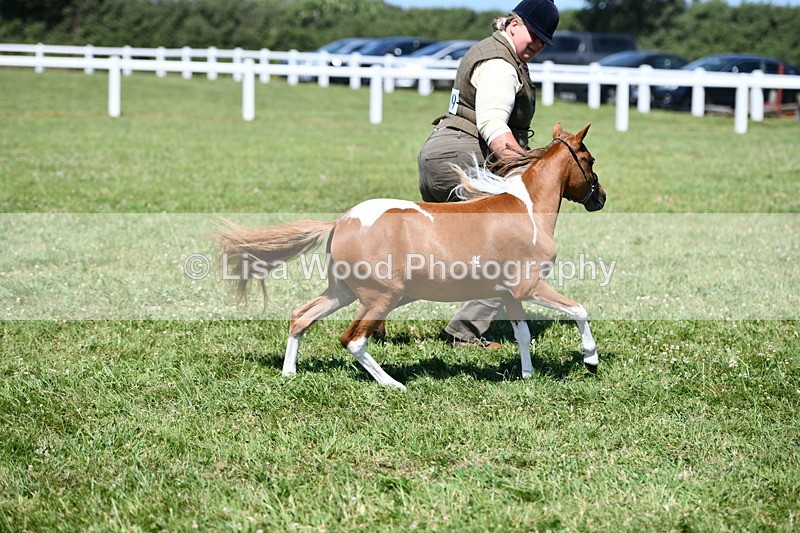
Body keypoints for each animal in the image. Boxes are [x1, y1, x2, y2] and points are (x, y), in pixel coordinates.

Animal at [219, 123, 605, 390]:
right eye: (589, 159)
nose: (600, 198)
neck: (527, 210)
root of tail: (341, 221)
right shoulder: (529, 287)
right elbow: (579, 310)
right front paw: (591, 360)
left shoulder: (509, 294)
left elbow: (523, 334)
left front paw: (527, 375)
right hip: (383, 297)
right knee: (352, 340)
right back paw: (393, 384)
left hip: (343, 292)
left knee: (301, 316)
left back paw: (290, 373)